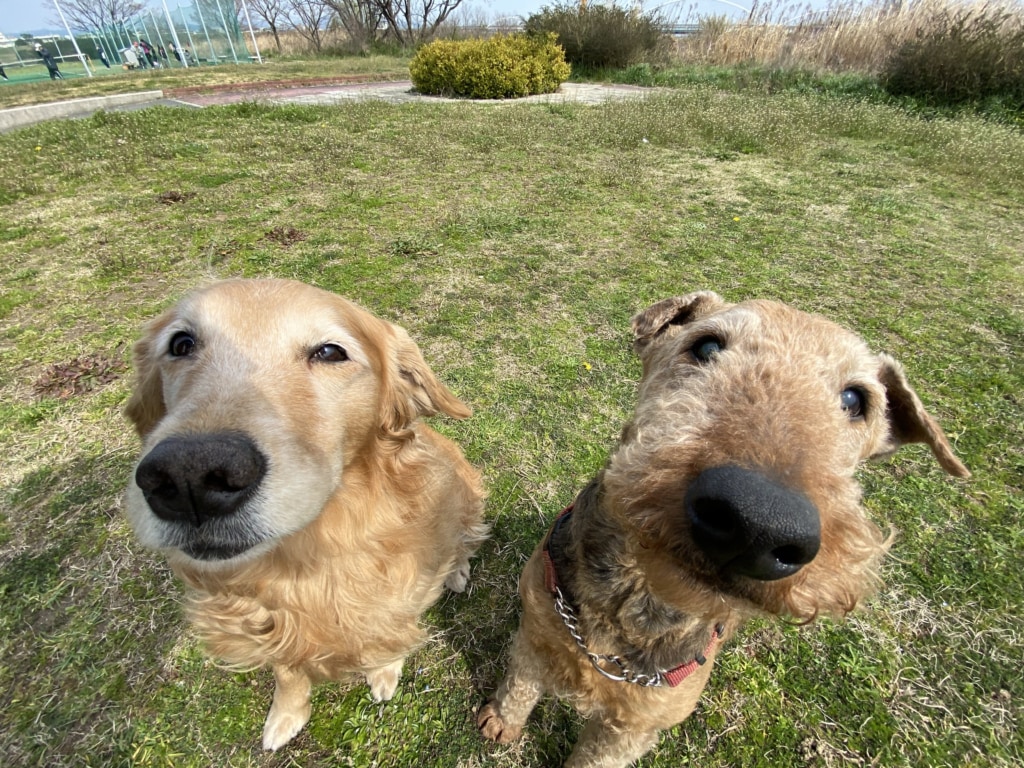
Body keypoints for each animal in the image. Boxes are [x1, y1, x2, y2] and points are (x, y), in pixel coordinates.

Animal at [121, 280, 485, 753]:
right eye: (181, 344)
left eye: (330, 352)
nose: (189, 477)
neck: (308, 557)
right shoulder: (268, 622)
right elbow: (288, 673)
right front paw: (287, 714)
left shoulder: (399, 597)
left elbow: (386, 639)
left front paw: (383, 674)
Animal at [475, 290, 970, 765]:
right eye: (707, 346)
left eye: (855, 400)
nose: (756, 521)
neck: (633, 603)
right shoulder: (537, 633)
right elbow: (518, 689)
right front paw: (500, 723)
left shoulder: (634, 725)